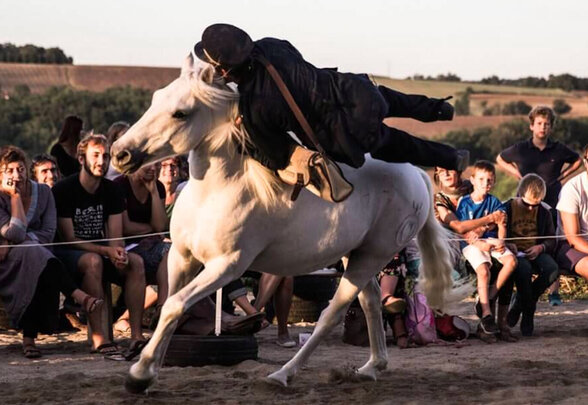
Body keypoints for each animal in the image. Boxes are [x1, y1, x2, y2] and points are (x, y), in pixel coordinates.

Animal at [112, 55, 458, 392]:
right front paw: (147, 371)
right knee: (370, 302)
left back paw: (284, 374)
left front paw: (139, 375)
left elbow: (174, 306)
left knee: (333, 313)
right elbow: (168, 307)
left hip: (372, 255)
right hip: (355, 255)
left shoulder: (226, 267)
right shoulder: (181, 257)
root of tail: (416, 174)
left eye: (180, 113)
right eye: (156, 98)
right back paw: (372, 367)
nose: (120, 154)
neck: (216, 191)